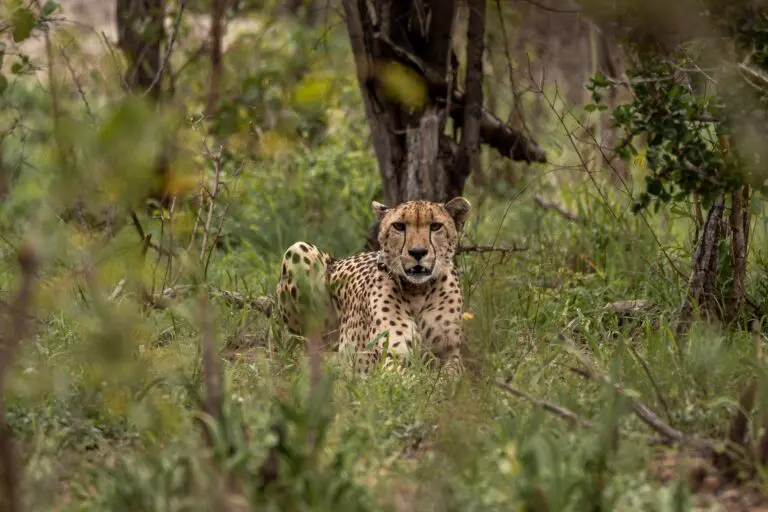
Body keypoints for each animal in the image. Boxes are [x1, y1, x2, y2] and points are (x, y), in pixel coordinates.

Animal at [275, 197, 471, 375]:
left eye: (436, 226)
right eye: (399, 226)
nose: (417, 252)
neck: (418, 291)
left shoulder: (450, 355)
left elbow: (450, 377)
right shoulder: (391, 358)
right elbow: (412, 379)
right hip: (298, 249)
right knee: (305, 350)